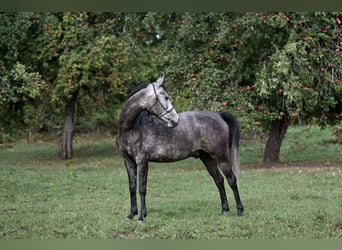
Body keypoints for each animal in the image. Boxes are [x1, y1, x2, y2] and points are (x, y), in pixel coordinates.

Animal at [117, 75, 243, 222]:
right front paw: (131, 214)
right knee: (219, 180)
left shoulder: (142, 161)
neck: (131, 128)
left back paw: (240, 210)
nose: (175, 120)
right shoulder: (128, 161)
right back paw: (224, 210)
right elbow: (132, 187)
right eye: (166, 97)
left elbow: (142, 188)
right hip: (207, 158)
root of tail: (218, 116)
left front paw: (142, 217)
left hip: (221, 157)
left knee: (231, 180)